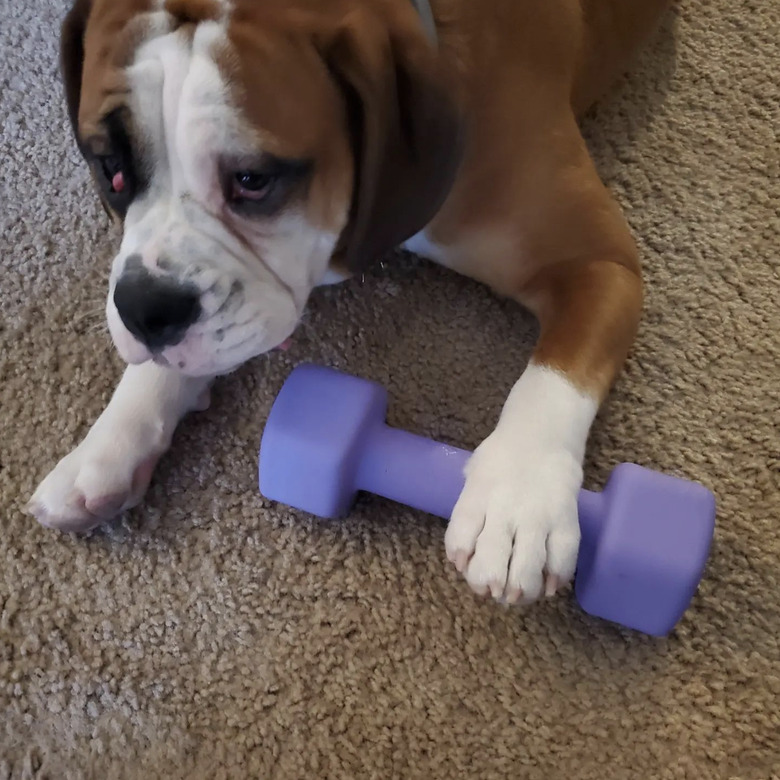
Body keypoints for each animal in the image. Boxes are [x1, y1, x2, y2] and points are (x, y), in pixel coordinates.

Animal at [29, 0, 672, 608]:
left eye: (253, 180)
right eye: (110, 171)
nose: (147, 309)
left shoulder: (598, 263)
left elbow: (554, 375)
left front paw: (518, 499)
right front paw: (110, 442)